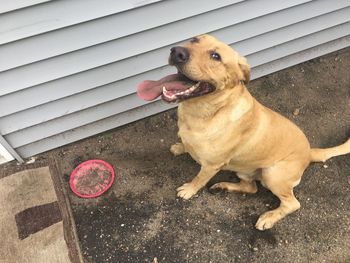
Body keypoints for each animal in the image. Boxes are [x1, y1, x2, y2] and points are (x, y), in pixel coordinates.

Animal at [137, 35, 350, 231]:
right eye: (194, 40)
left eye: (216, 56)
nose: (177, 52)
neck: (206, 111)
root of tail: (309, 153)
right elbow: (186, 145)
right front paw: (181, 147)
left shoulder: (211, 166)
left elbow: (199, 179)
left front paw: (189, 189)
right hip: (246, 170)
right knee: (251, 187)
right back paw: (224, 186)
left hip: (273, 174)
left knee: (292, 203)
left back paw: (268, 217)